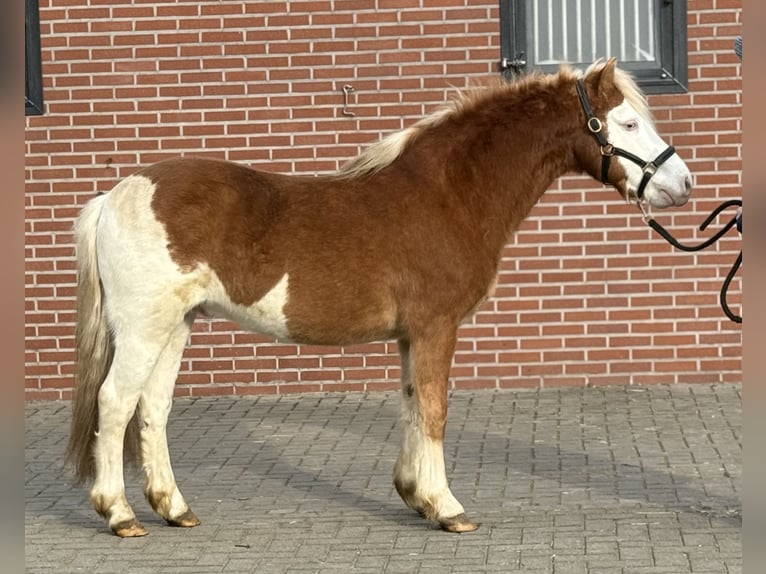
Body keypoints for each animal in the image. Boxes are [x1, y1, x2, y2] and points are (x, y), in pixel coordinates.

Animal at [65, 59, 692, 537]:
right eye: (628, 122)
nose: (682, 183)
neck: (449, 193)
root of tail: (113, 196)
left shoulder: (413, 335)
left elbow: (414, 403)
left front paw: (416, 496)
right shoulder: (437, 326)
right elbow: (435, 409)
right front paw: (448, 508)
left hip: (177, 326)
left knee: (152, 409)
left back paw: (175, 508)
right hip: (144, 329)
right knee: (115, 402)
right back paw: (119, 514)